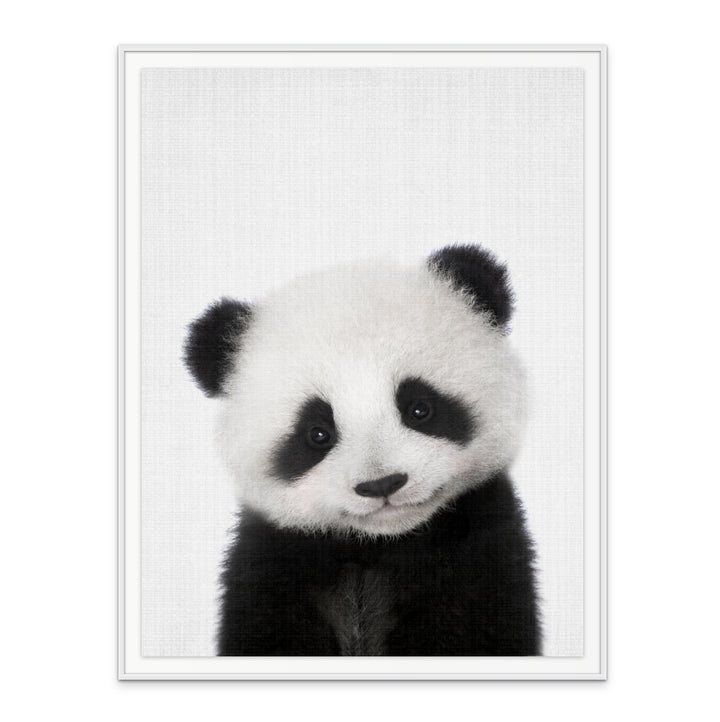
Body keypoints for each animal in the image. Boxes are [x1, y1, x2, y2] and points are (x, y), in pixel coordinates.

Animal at [184, 244, 540, 656]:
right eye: (317, 433)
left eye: (420, 408)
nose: (382, 484)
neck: (378, 546)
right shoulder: (274, 562)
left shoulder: (478, 551)